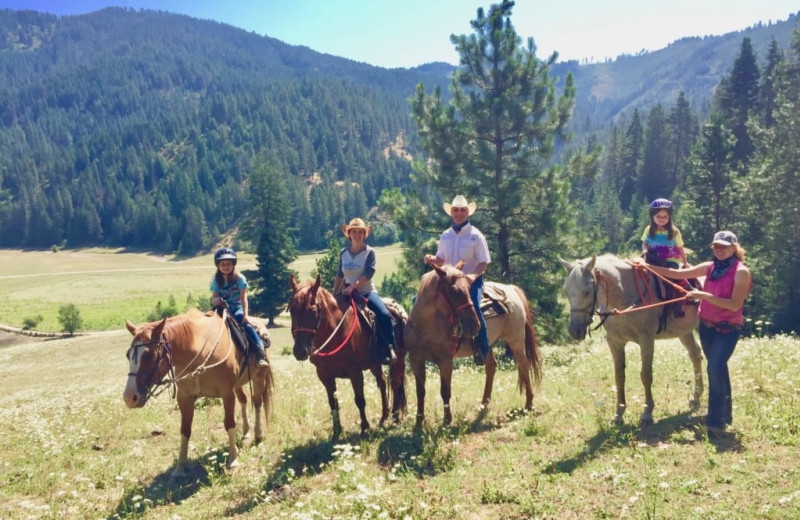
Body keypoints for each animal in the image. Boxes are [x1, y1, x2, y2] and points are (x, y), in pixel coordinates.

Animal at [123, 306, 274, 478]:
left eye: (149, 355)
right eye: (128, 355)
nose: (129, 397)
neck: (199, 353)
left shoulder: (227, 394)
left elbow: (229, 424)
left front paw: (234, 459)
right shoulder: (184, 398)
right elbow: (185, 430)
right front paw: (180, 467)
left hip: (259, 377)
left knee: (257, 402)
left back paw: (258, 434)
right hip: (238, 384)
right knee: (244, 400)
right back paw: (246, 432)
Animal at [290, 274, 410, 436]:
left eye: (312, 310)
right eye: (292, 310)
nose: (299, 351)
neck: (335, 333)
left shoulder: (355, 373)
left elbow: (359, 400)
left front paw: (364, 428)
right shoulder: (324, 375)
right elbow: (333, 403)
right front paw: (336, 432)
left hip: (399, 359)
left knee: (396, 382)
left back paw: (396, 417)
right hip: (374, 363)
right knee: (383, 382)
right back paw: (384, 417)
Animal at [404, 266, 540, 428]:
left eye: (468, 289)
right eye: (453, 291)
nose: (474, 325)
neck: (428, 326)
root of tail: (511, 288)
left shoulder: (445, 361)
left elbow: (445, 391)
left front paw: (447, 420)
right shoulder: (416, 360)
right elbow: (420, 391)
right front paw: (418, 421)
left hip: (516, 340)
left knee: (523, 365)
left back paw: (529, 403)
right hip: (488, 344)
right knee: (491, 366)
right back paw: (484, 404)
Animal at [560, 254, 704, 424]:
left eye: (587, 292)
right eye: (566, 291)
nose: (574, 330)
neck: (625, 296)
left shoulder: (646, 340)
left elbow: (646, 375)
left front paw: (647, 412)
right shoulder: (615, 342)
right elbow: (619, 377)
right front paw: (619, 413)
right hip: (684, 332)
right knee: (695, 355)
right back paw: (696, 397)